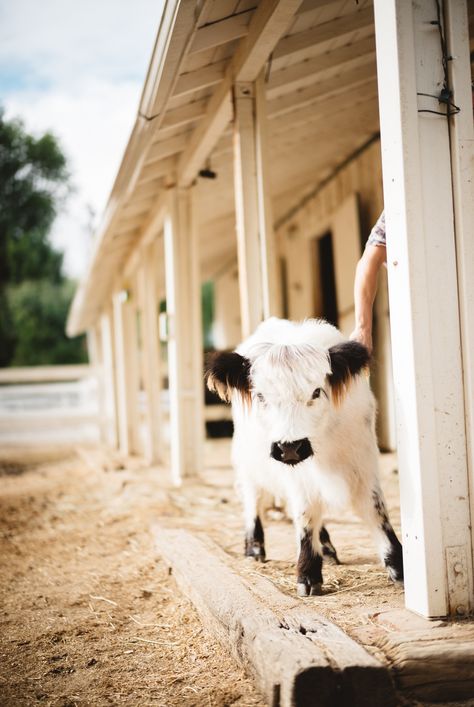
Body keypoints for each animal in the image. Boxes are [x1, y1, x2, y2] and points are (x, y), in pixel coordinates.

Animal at [206, 320, 402, 596]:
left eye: (317, 391)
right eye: (261, 396)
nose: (290, 448)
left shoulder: (363, 463)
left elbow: (377, 512)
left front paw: (400, 566)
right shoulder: (297, 474)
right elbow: (306, 514)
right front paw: (308, 574)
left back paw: (327, 548)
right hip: (247, 459)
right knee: (253, 497)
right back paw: (254, 547)